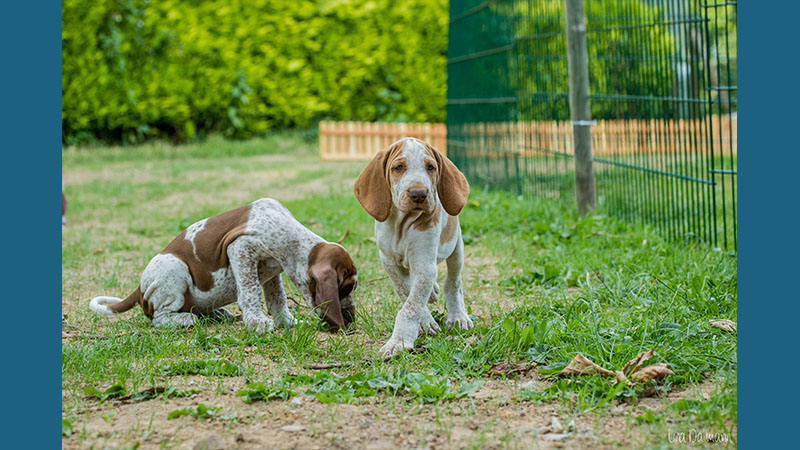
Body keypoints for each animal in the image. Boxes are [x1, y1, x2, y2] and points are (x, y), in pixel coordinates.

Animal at [88, 199, 360, 332]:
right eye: (345, 289)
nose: (351, 318)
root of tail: (139, 289)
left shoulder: (272, 271)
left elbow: (278, 298)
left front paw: (286, 322)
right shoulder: (241, 248)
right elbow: (250, 291)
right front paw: (258, 323)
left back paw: (215, 314)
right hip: (175, 268)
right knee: (158, 317)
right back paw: (186, 320)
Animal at [354, 137, 468, 358]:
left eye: (431, 167)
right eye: (399, 167)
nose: (418, 194)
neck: (401, 225)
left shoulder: (423, 265)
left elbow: (410, 305)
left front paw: (398, 341)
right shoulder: (388, 261)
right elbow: (406, 291)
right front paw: (425, 321)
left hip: (456, 247)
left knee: (454, 281)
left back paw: (458, 315)